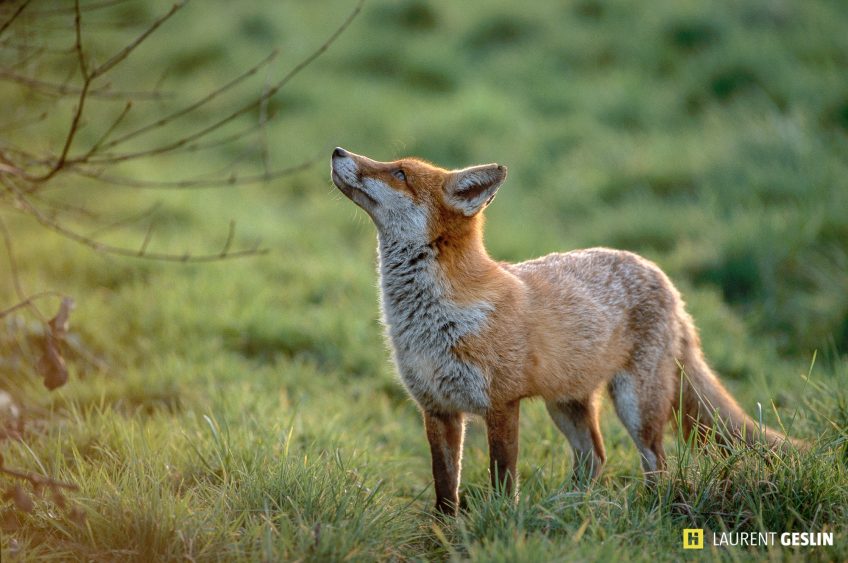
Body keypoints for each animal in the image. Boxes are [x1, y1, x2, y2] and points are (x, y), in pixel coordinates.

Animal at [330, 147, 801, 515]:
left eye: (399, 174)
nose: (337, 151)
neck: (430, 321)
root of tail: (663, 277)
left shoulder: (501, 404)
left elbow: (502, 482)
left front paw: (500, 526)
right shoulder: (437, 409)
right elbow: (446, 492)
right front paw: (445, 536)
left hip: (636, 404)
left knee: (656, 462)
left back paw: (648, 509)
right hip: (566, 403)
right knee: (596, 456)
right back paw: (571, 507)